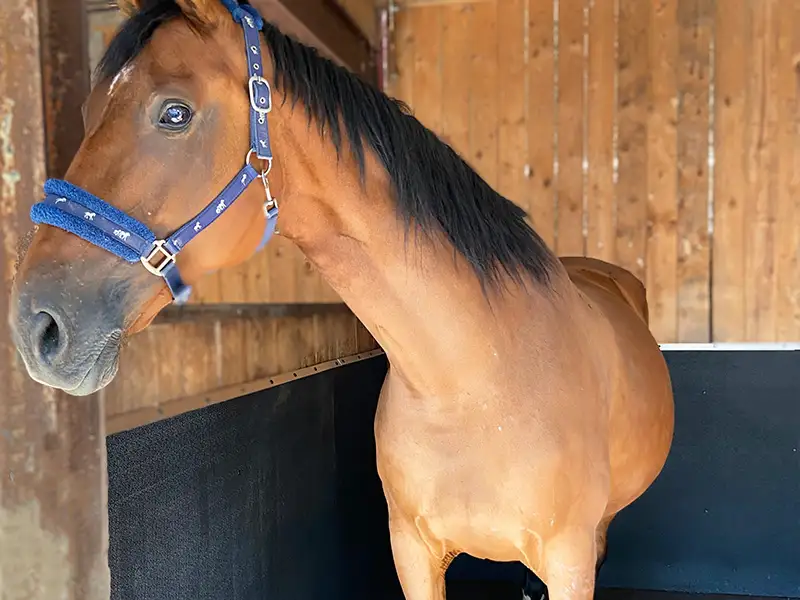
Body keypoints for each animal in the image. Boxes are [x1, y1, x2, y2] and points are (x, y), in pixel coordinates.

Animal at [8, 1, 675, 598]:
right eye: (90, 112)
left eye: (175, 112)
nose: (37, 326)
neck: (474, 384)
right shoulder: (411, 553)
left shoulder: (568, 562)